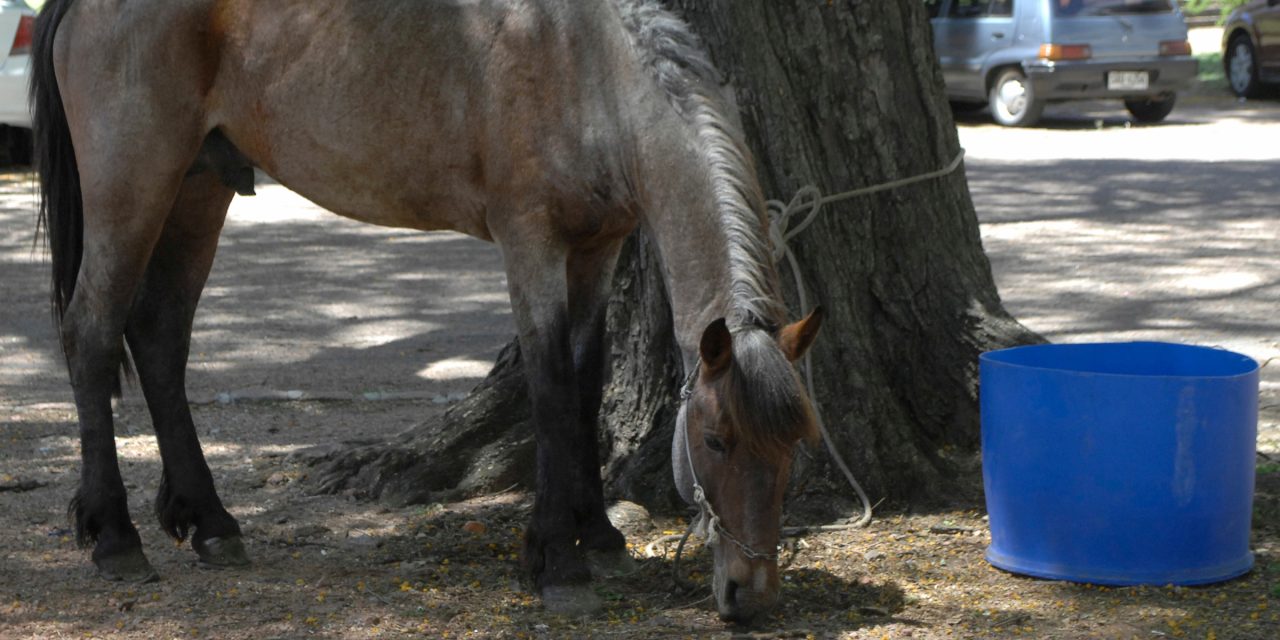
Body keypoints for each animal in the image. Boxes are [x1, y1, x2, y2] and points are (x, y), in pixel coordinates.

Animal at [35, 0, 824, 624]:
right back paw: (116, 538)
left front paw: (598, 536)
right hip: (132, 186)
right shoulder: (530, 244)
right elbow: (551, 387)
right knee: (92, 334)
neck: (586, 67)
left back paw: (212, 524)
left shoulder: (597, 250)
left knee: (159, 335)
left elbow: (585, 382)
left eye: (795, 443)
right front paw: (557, 561)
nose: (751, 593)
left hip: (200, 187)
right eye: (716, 440)